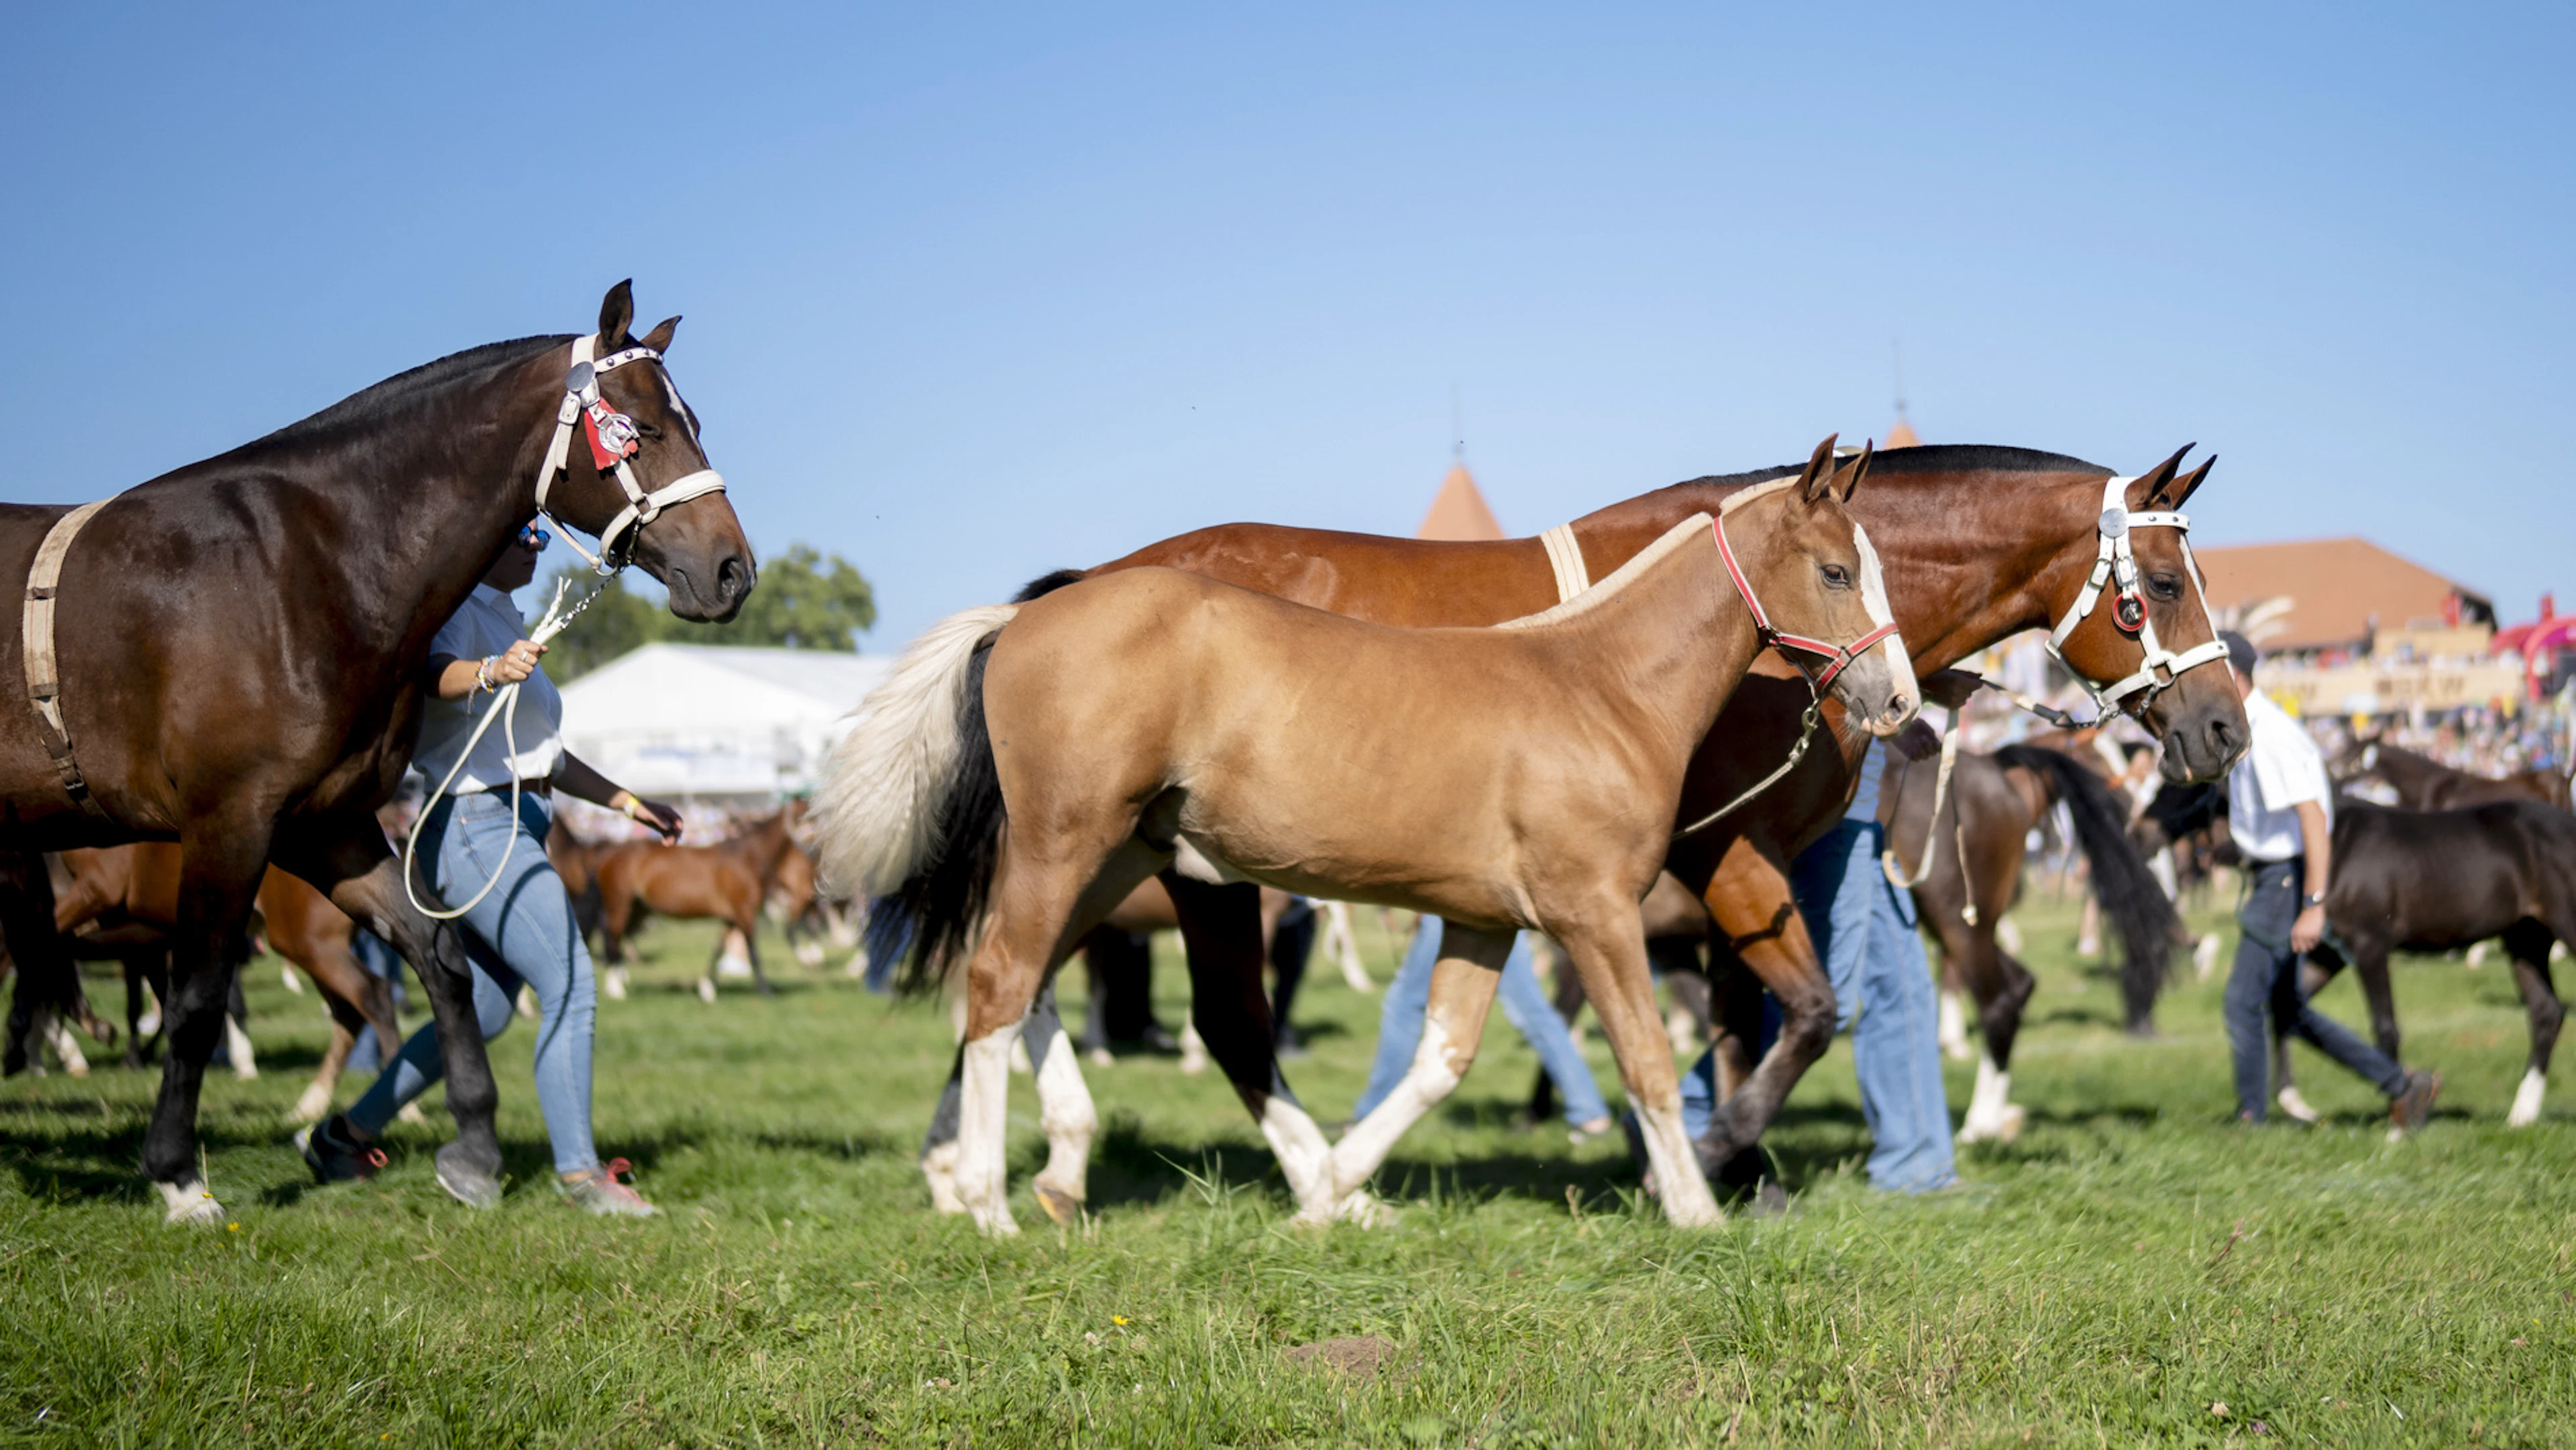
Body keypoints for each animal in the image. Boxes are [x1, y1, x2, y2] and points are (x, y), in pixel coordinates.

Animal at [0, 281, 756, 1222]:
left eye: (695, 422)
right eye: (643, 429)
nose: (732, 570)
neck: (297, 572)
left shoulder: (327, 825)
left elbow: (441, 964)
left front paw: (471, 1146)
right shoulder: (228, 824)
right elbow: (197, 1002)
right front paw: (177, 1174)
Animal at [594, 800, 808, 999]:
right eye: (808, 814)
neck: (749, 858)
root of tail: (609, 852)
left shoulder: (732, 918)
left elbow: (718, 949)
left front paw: (707, 988)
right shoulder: (745, 914)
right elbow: (754, 954)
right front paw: (767, 990)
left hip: (639, 909)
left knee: (620, 938)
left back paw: (621, 978)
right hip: (619, 904)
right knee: (613, 939)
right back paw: (616, 988)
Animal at [1878, 743, 2184, 1141]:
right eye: (2099, 759)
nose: (2133, 805)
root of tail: (1991, 766)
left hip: (1957, 918)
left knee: (1998, 1003)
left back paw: (1980, 1125)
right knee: (2017, 984)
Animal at [2277, 800, 2575, 1126]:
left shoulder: (2369, 945)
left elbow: (2385, 1027)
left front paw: (2399, 1114)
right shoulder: (2328, 953)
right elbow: (2286, 1009)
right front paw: (2294, 1104)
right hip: (2525, 939)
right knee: (2546, 1011)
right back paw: (2521, 1115)